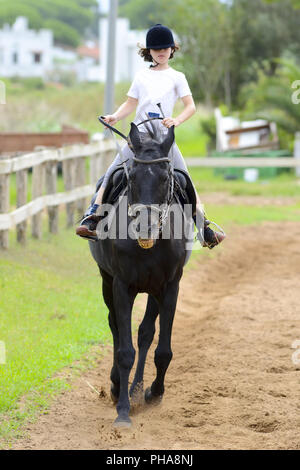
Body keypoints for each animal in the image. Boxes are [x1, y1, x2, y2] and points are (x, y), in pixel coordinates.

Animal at [89, 122, 192, 430]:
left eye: (166, 176)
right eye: (131, 176)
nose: (145, 227)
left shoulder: (170, 287)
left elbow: (162, 350)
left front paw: (154, 392)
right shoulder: (122, 285)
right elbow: (125, 351)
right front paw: (123, 411)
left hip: (153, 291)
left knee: (146, 333)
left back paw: (135, 387)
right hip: (106, 281)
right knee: (114, 327)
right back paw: (117, 387)